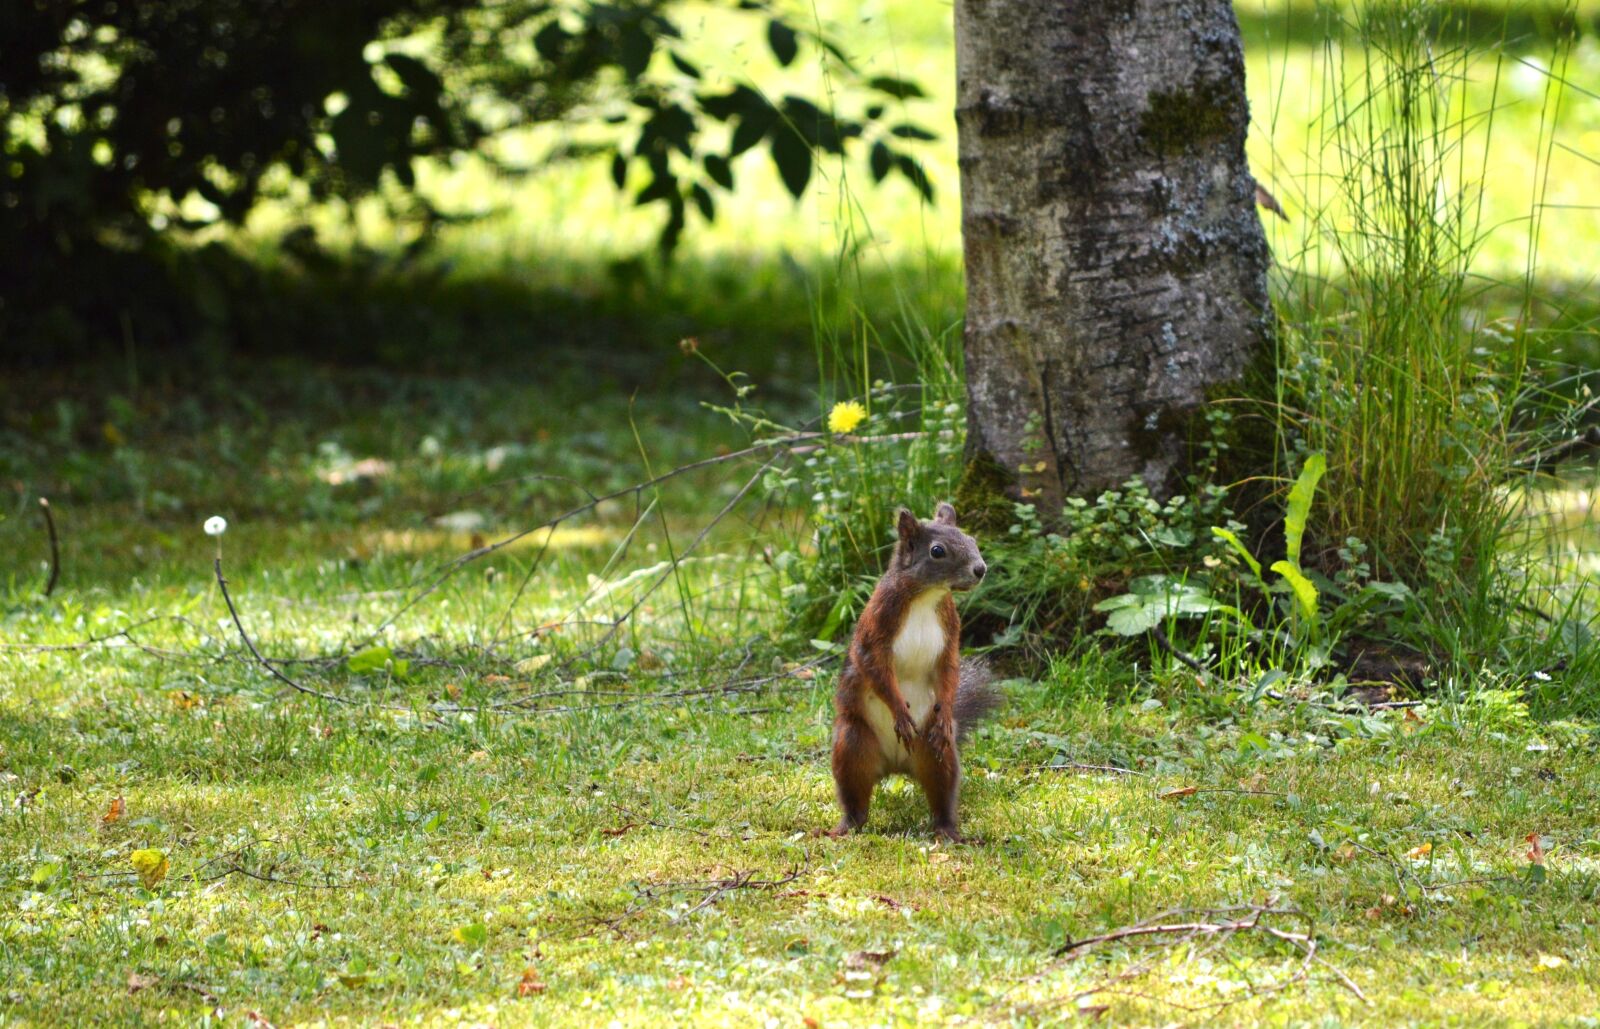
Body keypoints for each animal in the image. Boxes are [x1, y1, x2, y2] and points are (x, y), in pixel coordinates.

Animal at [828, 502, 998, 842]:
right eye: (937, 551)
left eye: (971, 539)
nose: (980, 569)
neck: (925, 596)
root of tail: (896, 766)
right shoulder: (878, 622)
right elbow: (875, 668)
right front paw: (900, 713)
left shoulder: (950, 631)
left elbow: (949, 671)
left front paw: (946, 710)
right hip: (853, 743)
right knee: (855, 800)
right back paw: (844, 827)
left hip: (937, 754)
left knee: (941, 792)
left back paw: (949, 830)